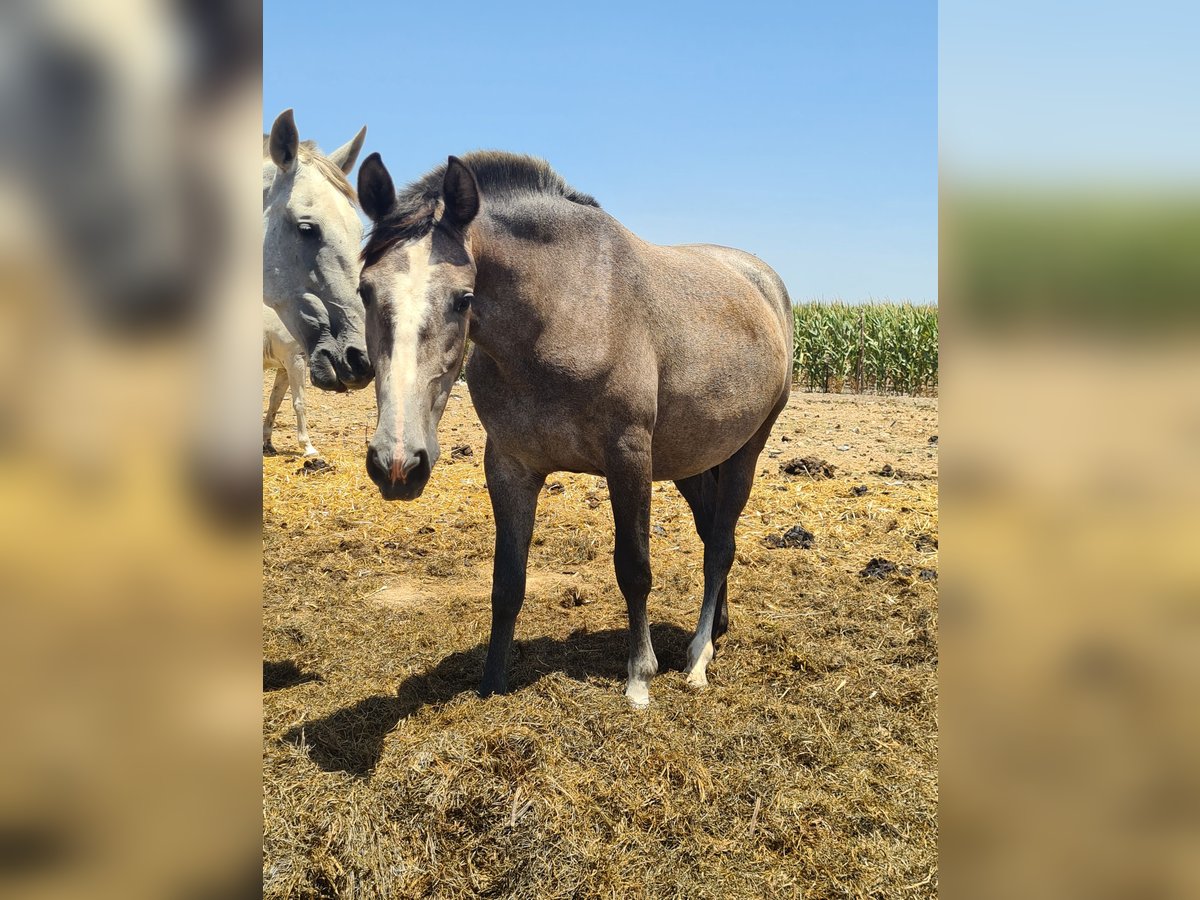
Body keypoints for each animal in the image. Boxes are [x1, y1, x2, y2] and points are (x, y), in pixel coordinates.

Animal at [262, 304, 319, 458]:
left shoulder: (284, 369)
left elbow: (275, 403)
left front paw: (268, 444)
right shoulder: (296, 360)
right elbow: (300, 403)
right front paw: (308, 447)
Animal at [352, 151, 796, 710]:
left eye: (463, 298)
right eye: (365, 290)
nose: (398, 464)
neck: (564, 311)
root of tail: (764, 284)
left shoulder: (628, 458)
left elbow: (634, 568)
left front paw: (639, 678)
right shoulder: (509, 467)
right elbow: (507, 582)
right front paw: (492, 684)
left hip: (745, 451)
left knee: (719, 545)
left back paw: (698, 657)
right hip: (692, 460)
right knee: (714, 532)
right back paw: (717, 626)